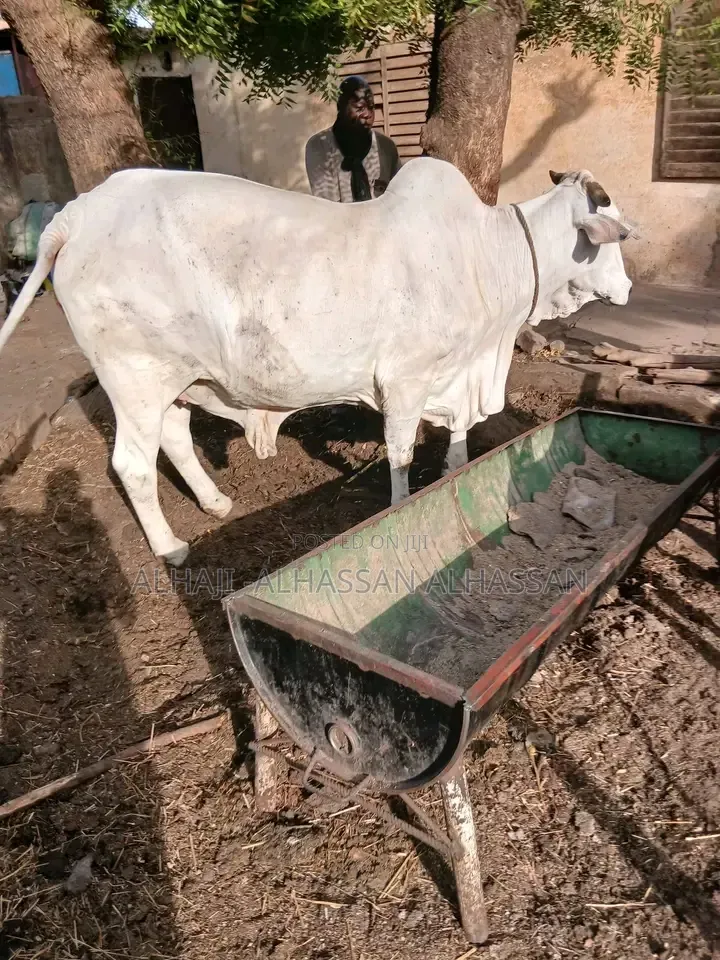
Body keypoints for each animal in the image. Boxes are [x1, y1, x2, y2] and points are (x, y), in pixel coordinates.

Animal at [0, 160, 636, 567]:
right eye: (612, 239)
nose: (628, 289)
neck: (485, 255)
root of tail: (79, 212)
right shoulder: (404, 380)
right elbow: (401, 454)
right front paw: (400, 508)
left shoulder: (453, 376)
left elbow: (456, 440)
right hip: (134, 376)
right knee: (132, 464)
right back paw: (171, 547)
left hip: (176, 379)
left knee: (175, 438)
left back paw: (214, 502)